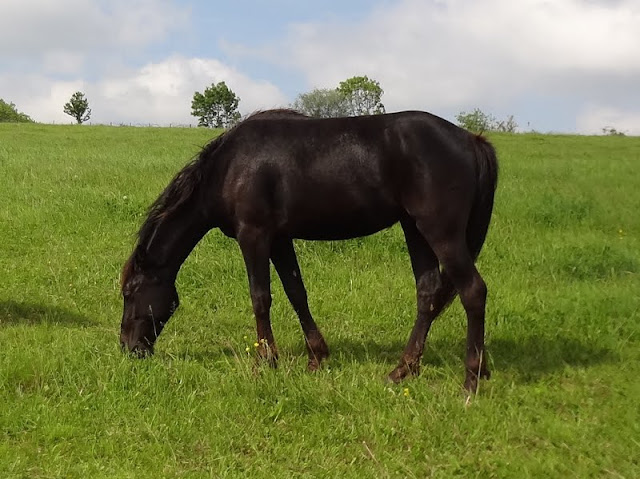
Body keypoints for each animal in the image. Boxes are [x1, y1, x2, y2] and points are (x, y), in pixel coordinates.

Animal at [121, 109, 500, 394]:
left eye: (129, 293)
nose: (129, 348)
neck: (229, 167)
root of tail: (471, 140)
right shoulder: (279, 240)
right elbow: (295, 292)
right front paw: (316, 357)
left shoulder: (253, 236)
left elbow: (260, 297)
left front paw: (266, 361)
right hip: (415, 230)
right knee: (428, 294)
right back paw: (403, 369)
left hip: (441, 233)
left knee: (473, 291)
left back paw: (470, 379)